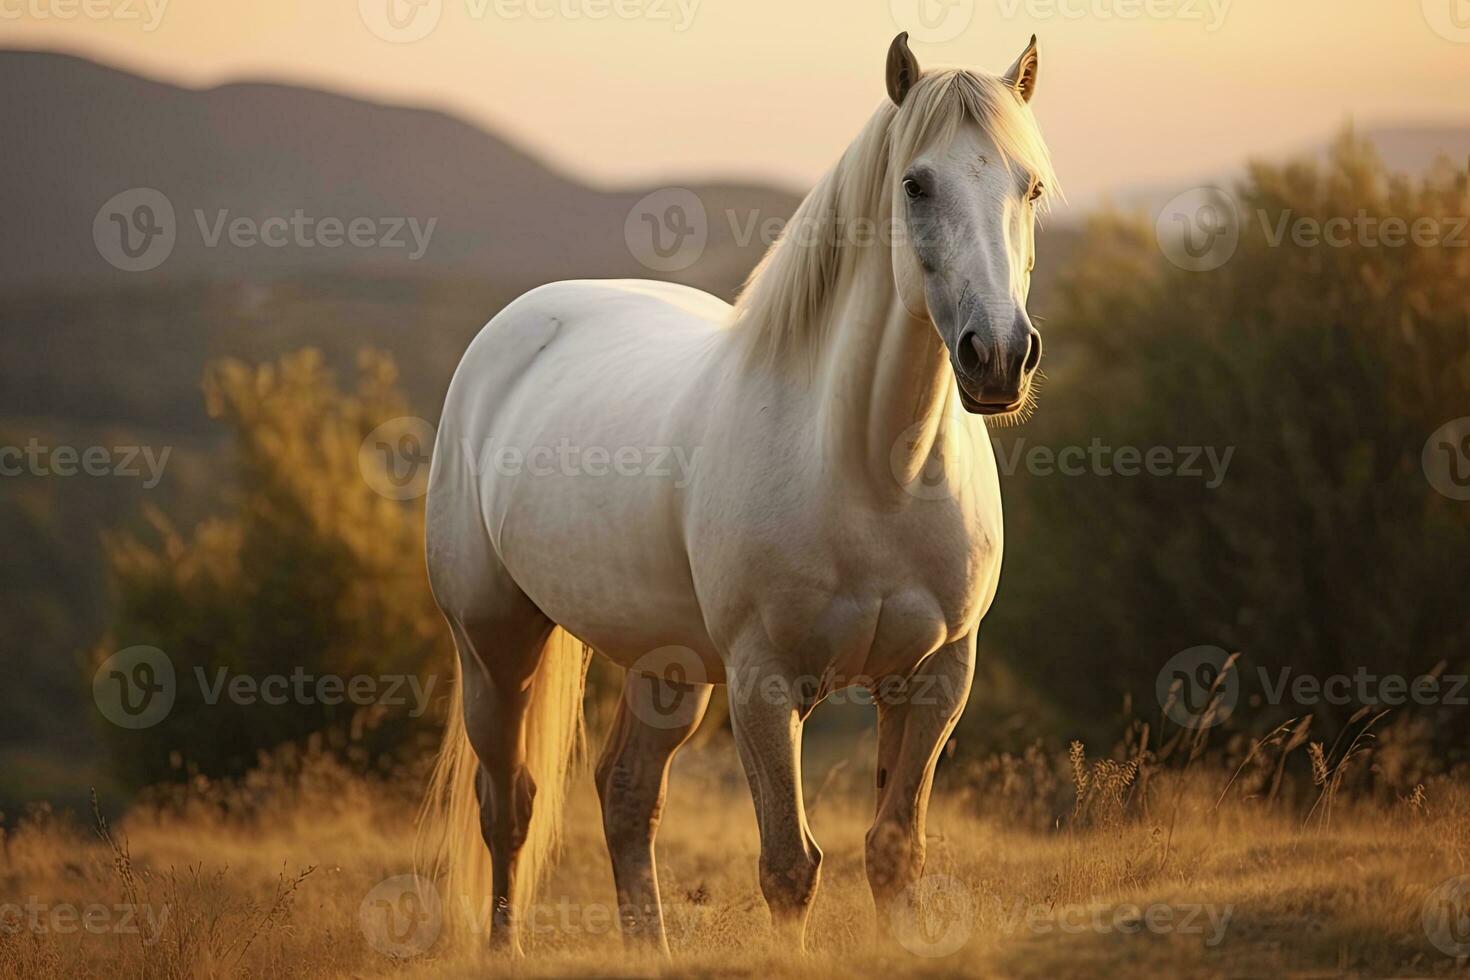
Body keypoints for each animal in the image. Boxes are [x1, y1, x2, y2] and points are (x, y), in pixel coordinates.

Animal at [420, 34, 1052, 952]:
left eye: (1030, 184)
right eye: (915, 184)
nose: (998, 356)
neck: (876, 474)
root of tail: (515, 327)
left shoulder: (936, 676)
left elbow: (894, 851)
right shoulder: (763, 683)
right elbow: (789, 868)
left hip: (668, 667)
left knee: (625, 795)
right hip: (495, 646)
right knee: (510, 805)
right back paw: (506, 950)